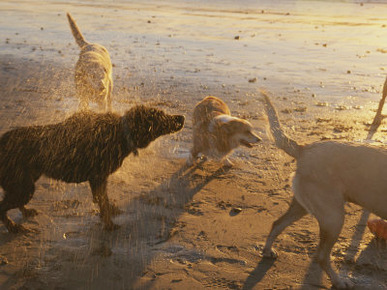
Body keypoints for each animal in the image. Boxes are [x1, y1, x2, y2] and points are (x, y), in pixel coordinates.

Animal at [0, 105, 185, 232]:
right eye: (161, 115)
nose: (182, 117)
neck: (120, 133)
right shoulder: (98, 177)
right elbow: (102, 202)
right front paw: (109, 224)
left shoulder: (99, 179)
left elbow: (103, 199)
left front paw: (109, 212)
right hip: (23, 186)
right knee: (2, 207)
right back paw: (12, 226)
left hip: (25, 182)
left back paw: (25, 212)